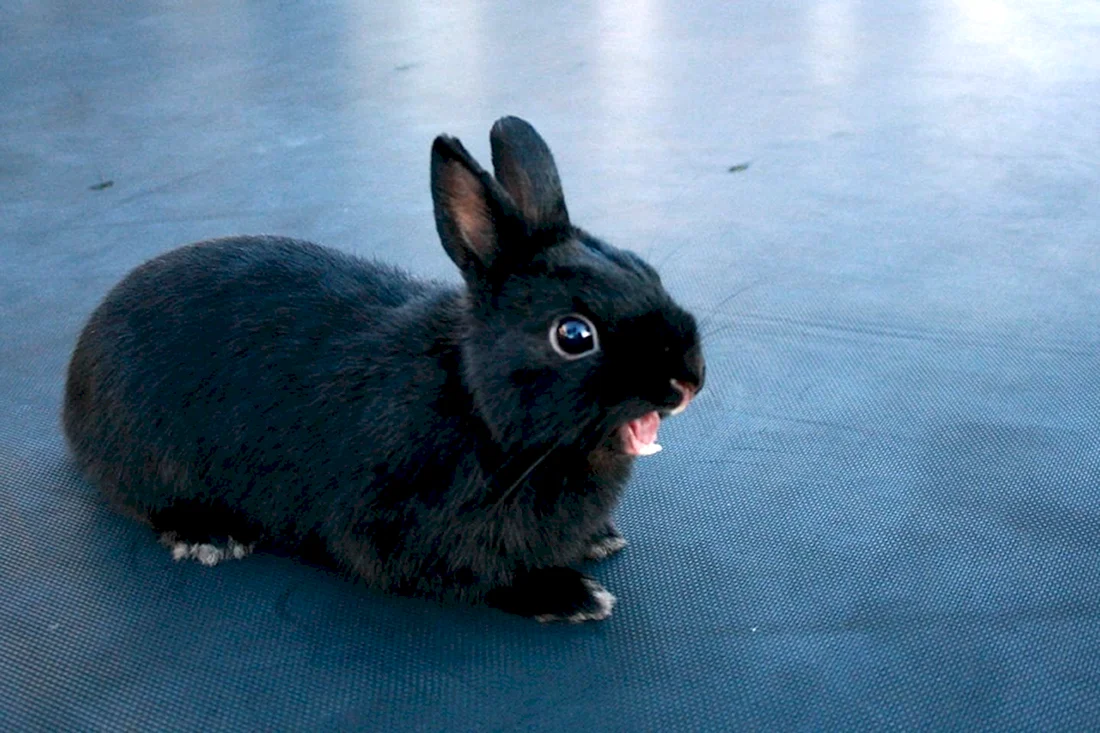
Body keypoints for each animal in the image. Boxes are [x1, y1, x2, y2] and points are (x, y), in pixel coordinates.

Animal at [62, 116, 705, 623]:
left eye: (645, 269)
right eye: (573, 335)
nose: (689, 379)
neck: (480, 409)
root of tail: (77, 377)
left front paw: (598, 539)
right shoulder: (394, 530)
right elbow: (475, 578)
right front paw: (568, 595)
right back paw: (211, 536)